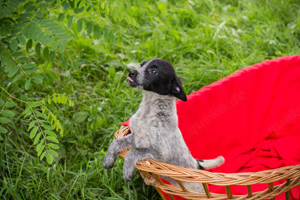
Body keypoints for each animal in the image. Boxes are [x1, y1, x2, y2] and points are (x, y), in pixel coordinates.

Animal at [102, 58, 224, 191]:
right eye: (142, 65)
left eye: (154, 71)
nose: (131, 72)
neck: (148, 110)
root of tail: (197, 165)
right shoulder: (136, 137)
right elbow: (116, 142)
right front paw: (108, 159)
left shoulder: (159, 151)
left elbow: (132, 152)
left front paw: (127, 171)